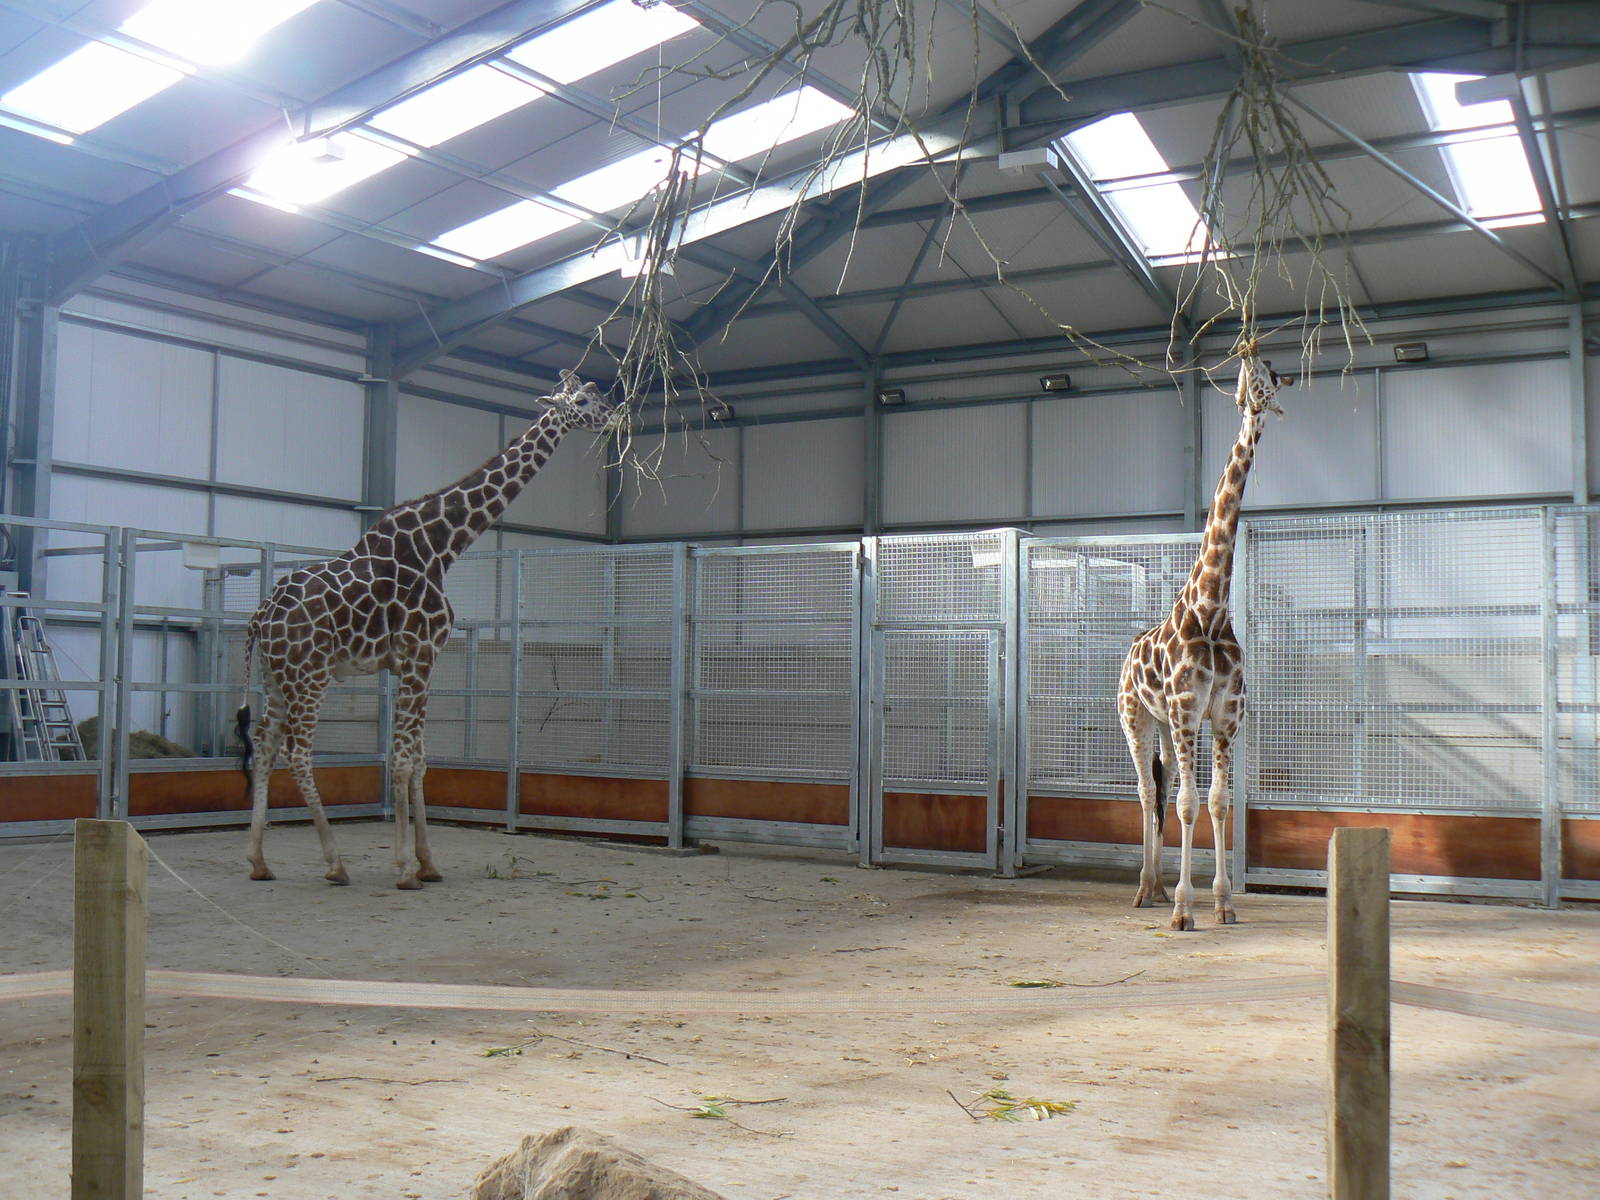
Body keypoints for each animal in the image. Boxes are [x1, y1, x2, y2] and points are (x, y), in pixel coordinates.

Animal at [238, 371, 620, 889]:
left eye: (596, 394)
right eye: (582, 400)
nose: (616, 416)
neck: (442, 546)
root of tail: (261, 614)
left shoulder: (414, 663)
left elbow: (419, 759)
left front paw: (427, 862)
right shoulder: (420, 654)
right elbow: (401, 759)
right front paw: (404, 869)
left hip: (277, 676)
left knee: (263, 744)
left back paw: (259, 861)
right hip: (310, 674)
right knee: (298, 753)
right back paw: (335, 864)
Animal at [1116, 350, 1291, 930]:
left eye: (1273, 381)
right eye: (1257, 373)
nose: (1253, 354)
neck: (1210, 610)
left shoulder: (1223, 715)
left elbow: (1214, 802)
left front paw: (1221, 902)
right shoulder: (1189, 710)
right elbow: (1189, 804)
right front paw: (1183, 909)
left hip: (1166, 727)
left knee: (1163, 786)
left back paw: (1154, 885)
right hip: (1136, 717)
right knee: (1146, 790)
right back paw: (1144, 889)